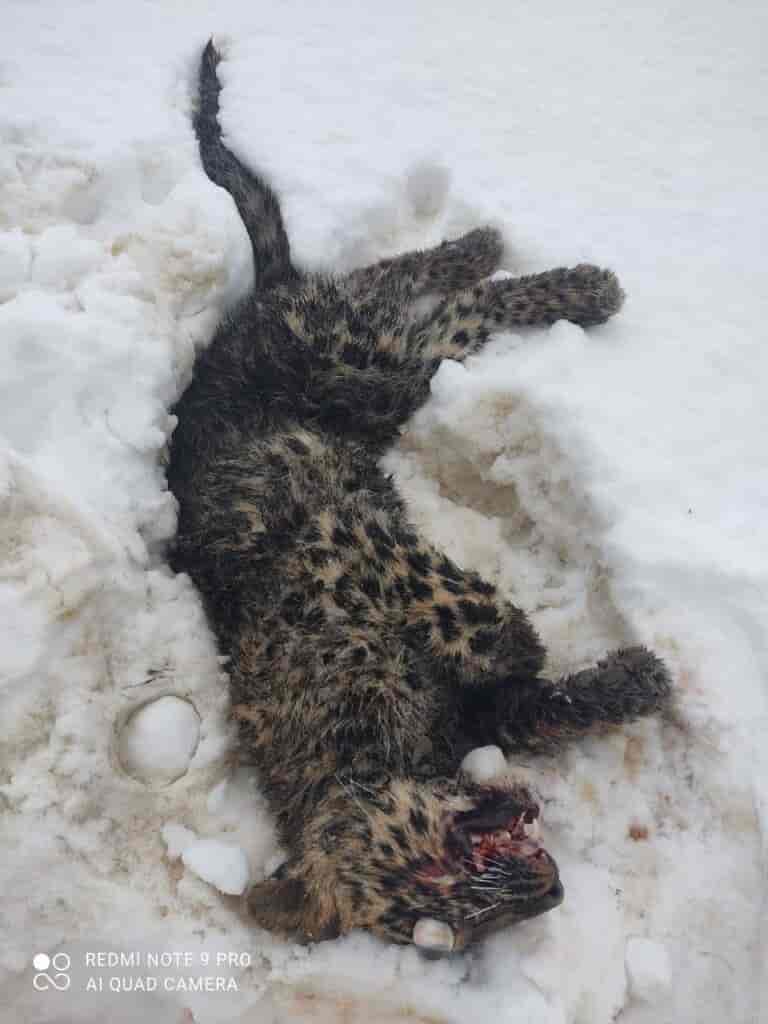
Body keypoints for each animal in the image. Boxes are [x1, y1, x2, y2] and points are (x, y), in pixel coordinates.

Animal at [166, 39, 672, 954]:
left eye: (442, 876)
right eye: (441, 933)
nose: (549, 894)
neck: (359, 750)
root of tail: (243, 322)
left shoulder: (342, 545)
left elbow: (468, 609)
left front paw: (523, 640)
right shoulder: (487, 715)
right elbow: (544, 706)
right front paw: (635, 680)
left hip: (350, 361)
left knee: (425, 302)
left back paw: (535, 267)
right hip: (377, 385)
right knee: (436, 318)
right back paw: (527, 267)